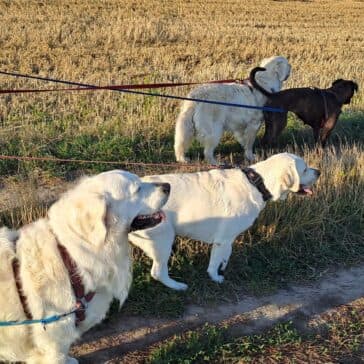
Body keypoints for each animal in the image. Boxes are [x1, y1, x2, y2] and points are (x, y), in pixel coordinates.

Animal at [129, 153, 320, 290]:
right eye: (304, 169)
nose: (319, 172)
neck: (257, 183)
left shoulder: (228, 240)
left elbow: (225, 255)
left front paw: (223, 267)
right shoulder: (223, 239)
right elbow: (214, 263)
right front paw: (215, 277)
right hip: (163, 239)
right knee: (157, 272)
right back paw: (177, 286)